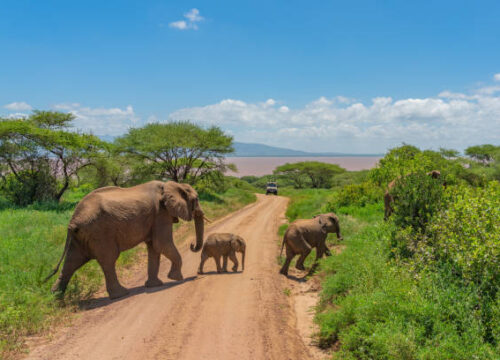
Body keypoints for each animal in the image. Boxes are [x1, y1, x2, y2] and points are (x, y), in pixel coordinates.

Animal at [45, 181, 205, 300]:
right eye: (196, 200)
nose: (192, 245)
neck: (172, 185)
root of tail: (73, 221)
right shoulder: (161, 212)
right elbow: (162, 244)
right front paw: (177, 279)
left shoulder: (156, 216)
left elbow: (154, 247)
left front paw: (155, 285)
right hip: (100, 233)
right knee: (108, 260)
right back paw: (121, 294)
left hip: (80, 237)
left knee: (72, 262)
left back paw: (56, 299)